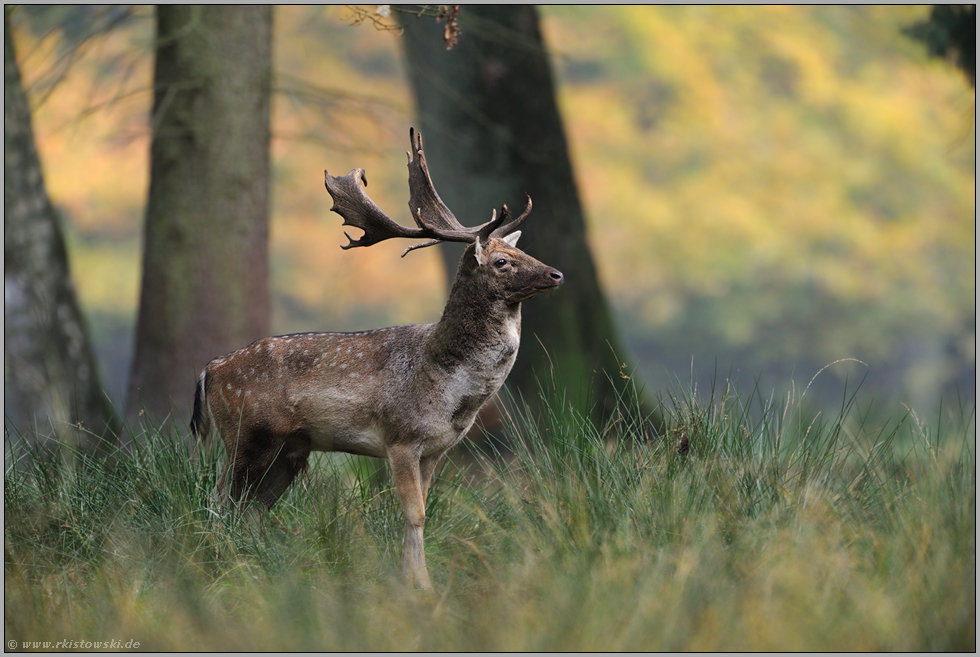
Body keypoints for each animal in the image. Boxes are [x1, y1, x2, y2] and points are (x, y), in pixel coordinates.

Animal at [190, 129, 564, 588]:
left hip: (289, 450)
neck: (451, 388)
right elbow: (415, 514)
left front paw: (415, 580)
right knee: (218, 496)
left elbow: (422, 510)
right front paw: (419, 587)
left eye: (522, 255)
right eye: (502, 261)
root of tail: (209, 369)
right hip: (246, 434)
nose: (555, 274)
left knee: (252, 508)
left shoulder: (437, 450)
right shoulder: (400, 437)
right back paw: (219, 564)